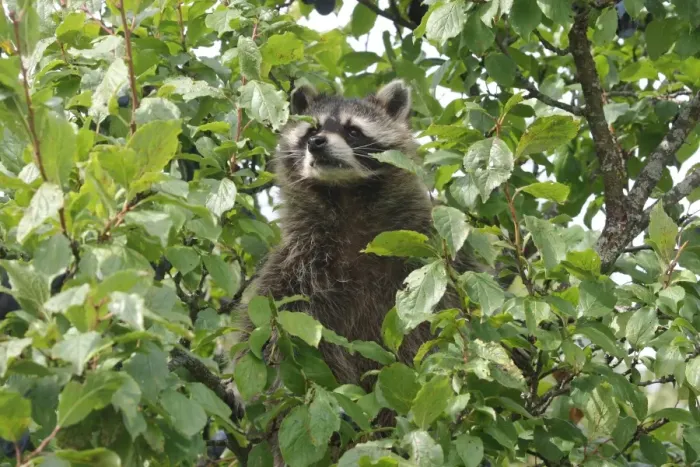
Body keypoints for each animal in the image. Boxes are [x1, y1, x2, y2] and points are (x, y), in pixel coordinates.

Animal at [232, 80, 485, 464]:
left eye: (352, 131)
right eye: (312, 130)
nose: (318, 143)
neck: (346, 194)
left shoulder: (427, 249)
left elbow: (442, 321)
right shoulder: (297, 259)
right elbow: (266, 325)